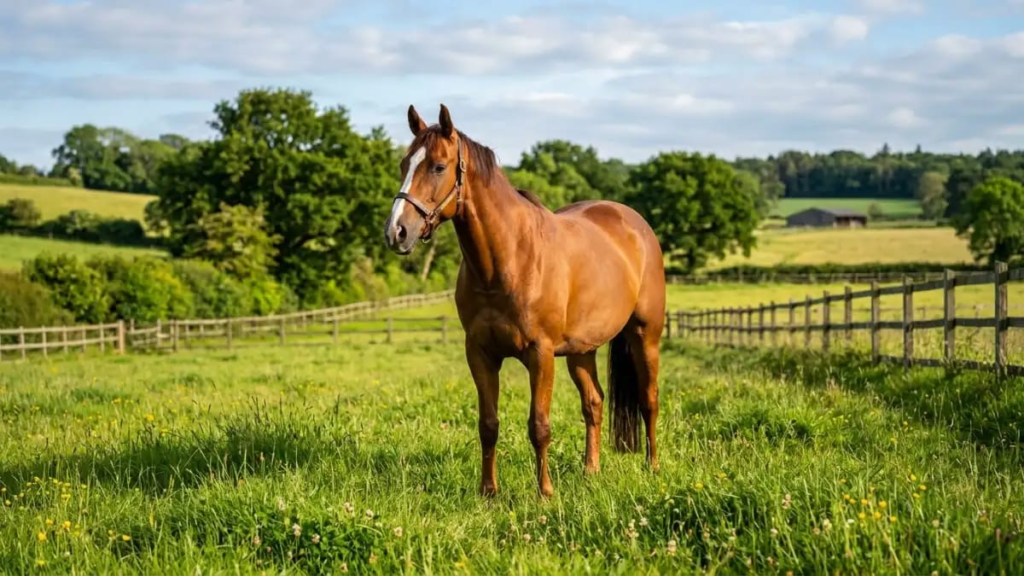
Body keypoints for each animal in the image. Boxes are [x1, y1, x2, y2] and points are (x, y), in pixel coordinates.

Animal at [383, 104, 666, 497]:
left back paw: (653, 467)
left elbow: (539, 425)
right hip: (582, 350)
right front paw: (488, 492)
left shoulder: (540, 354)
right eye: (403, 164)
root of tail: (635, 223)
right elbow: (488, 424)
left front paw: (545, 492)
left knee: (648, 400)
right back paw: (590, 471)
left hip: (645, 335)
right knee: (593, 403)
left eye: (438, 166)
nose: (396, 232)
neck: (508, 259)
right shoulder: (480, 353)